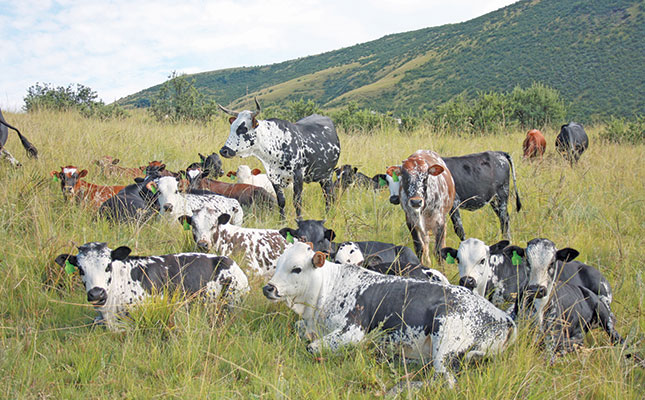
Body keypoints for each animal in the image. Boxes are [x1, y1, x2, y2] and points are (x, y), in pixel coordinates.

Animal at [262, 242, 516, 388]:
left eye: (296, 268)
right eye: (278, 264)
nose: (269, 288)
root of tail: (504, 318)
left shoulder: (353, 331)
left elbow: (312, 347)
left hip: (444, 346)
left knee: (446, 380)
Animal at [387, 151, 521, 241]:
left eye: (401, 180)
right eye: (388, 181)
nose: (394, 198)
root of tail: (499, 153)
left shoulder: (454, 205)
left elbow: (459, 230)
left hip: (502, 196)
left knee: (505, 220)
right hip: (494, 200)